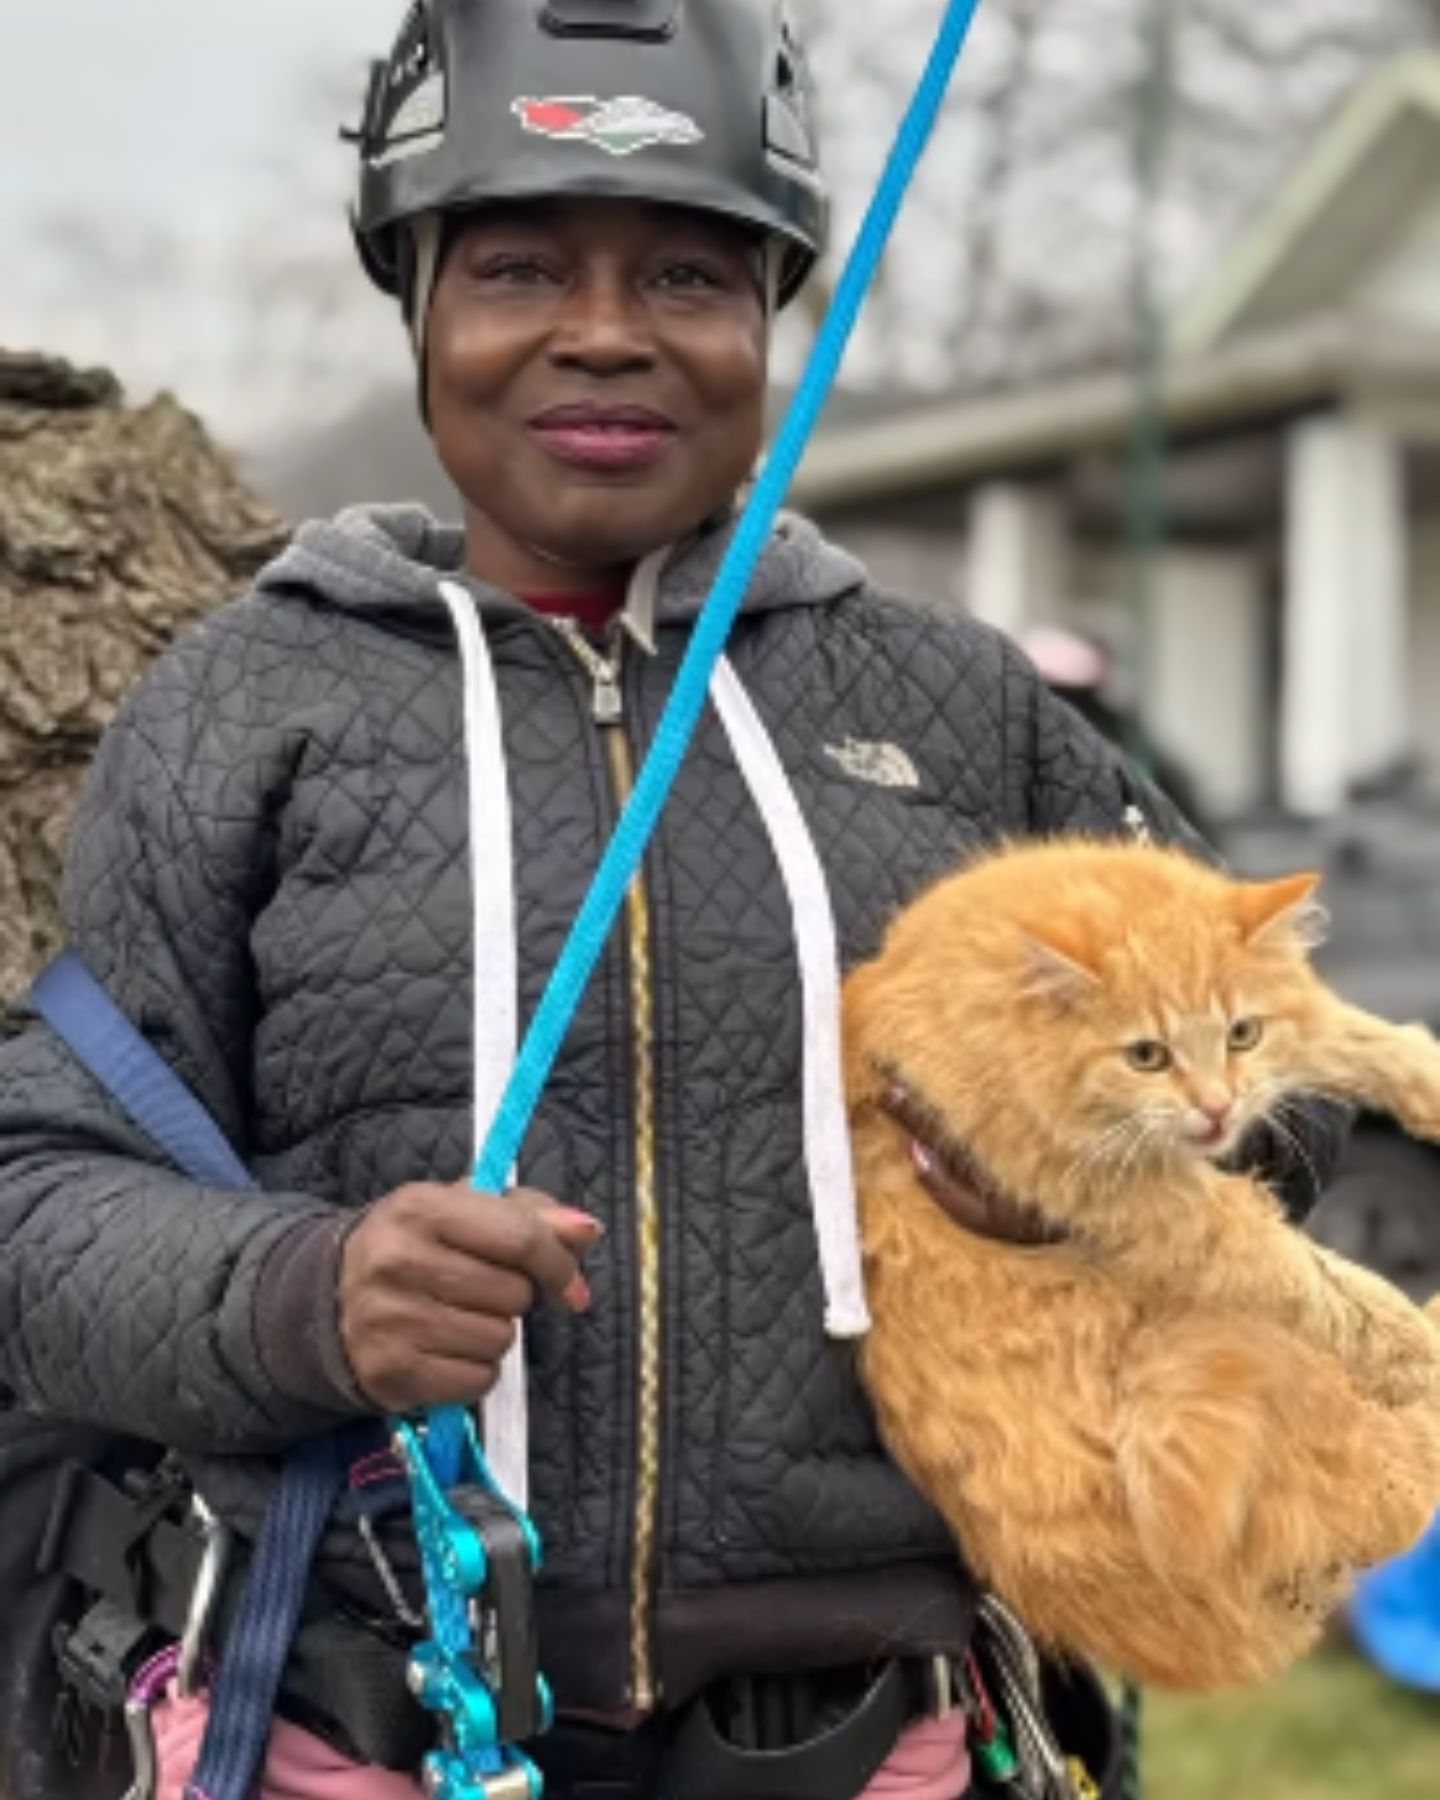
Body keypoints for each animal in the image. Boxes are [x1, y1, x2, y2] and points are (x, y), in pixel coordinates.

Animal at [849, 838, 1440, 1684]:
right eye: (1147, 1056)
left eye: (1241, 1035)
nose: (1217, 1110)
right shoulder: (1140, 1200)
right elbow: (1296, 1265)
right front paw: (1400, 1339)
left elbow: (1344, 1031)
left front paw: (1421, 1077)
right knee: (1406, 1475)